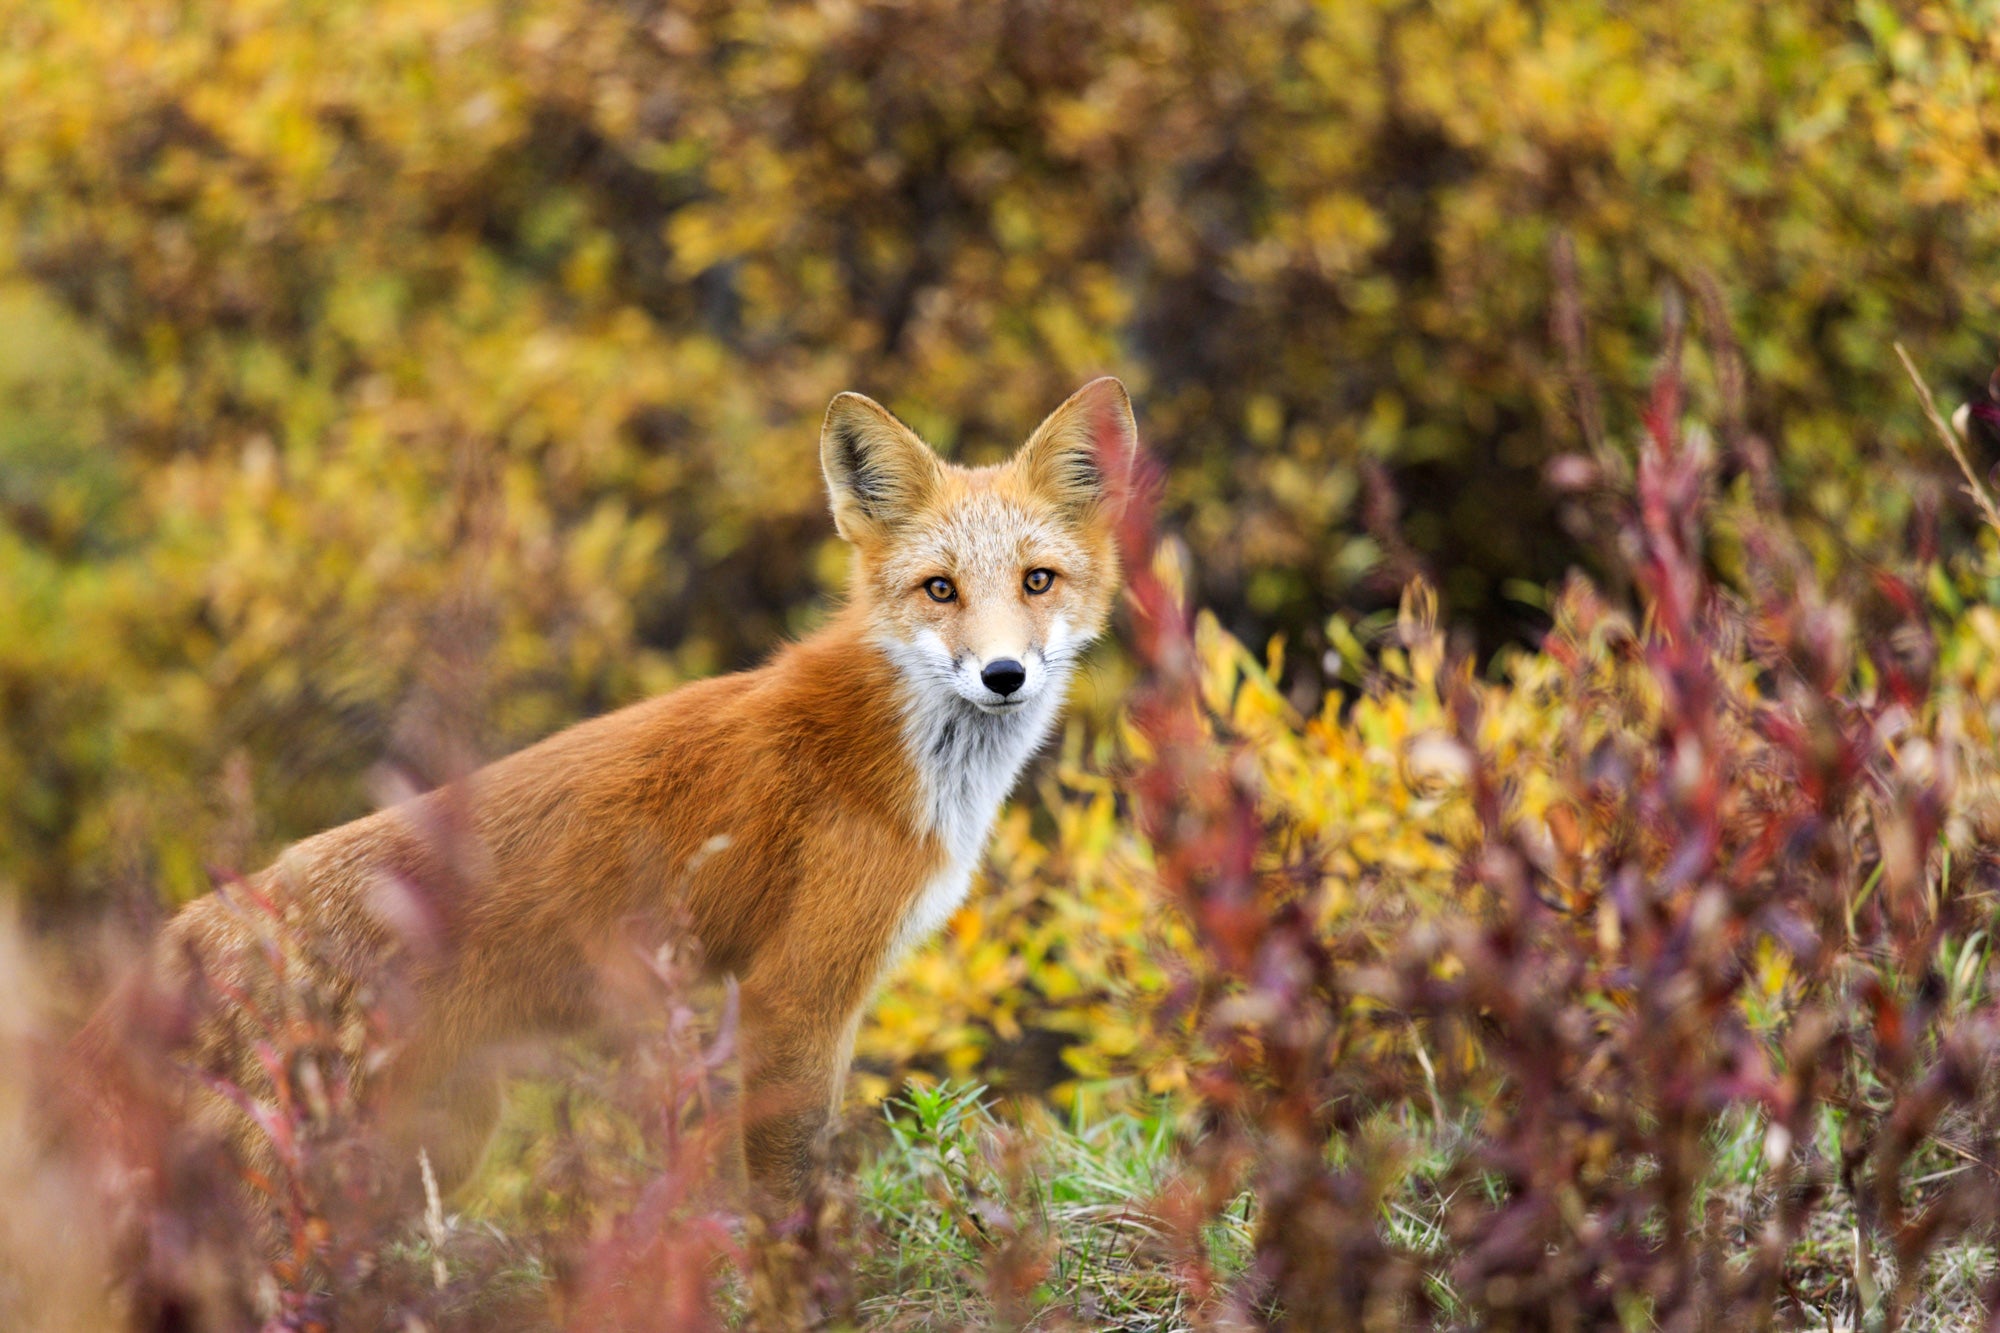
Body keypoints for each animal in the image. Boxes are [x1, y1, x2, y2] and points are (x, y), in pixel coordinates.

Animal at [146, 374, 1136, 1200]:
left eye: (1037, 580)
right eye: (940, 589)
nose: (1003, 674)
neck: (902, 759)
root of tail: (186, 931)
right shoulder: (795, 993)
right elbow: (788, 1196)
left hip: (441, 1140)